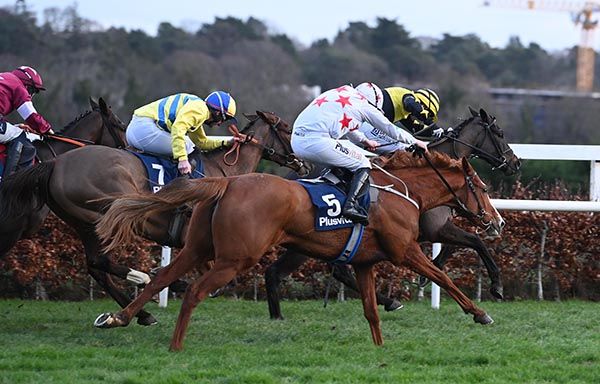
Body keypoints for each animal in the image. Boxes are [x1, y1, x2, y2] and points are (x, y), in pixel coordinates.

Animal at [95, 151, 506, 352]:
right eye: (483, 187)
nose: (497, 220)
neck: (403, 191)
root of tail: (227, 182)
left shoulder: (365, 263)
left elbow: (372, 311)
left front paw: (380, 349)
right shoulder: (404, 251)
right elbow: (443, 278)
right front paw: (480, 313)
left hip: (197, 247)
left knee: (161, 278)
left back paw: (119, 318)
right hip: (236, 257)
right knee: (195, 291)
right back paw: (176, 345)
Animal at [264, 106, 520, 320]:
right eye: (499, 132)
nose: (515, 162)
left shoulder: (435, 228)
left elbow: (458, 246)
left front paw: (429, 272)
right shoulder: (435, 228)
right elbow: (475, 240)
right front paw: (496, 285)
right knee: (296, 271)